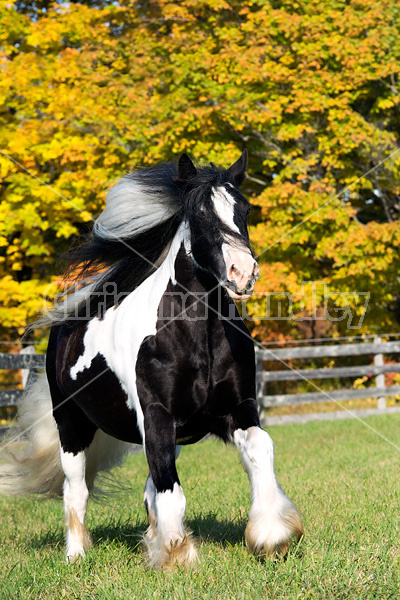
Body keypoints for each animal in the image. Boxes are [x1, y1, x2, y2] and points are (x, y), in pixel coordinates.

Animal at [0, 150, 302, 568]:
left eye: (245, 209)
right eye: (199, 213)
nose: (243, 273)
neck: (195, 339)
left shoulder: (236, 409)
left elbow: (260, 450)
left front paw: (272, 537)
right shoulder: (157, 417)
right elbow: (170, 491)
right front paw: (176, 556)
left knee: (146, 488)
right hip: (71, 425)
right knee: (76, 491)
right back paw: (77, 555)